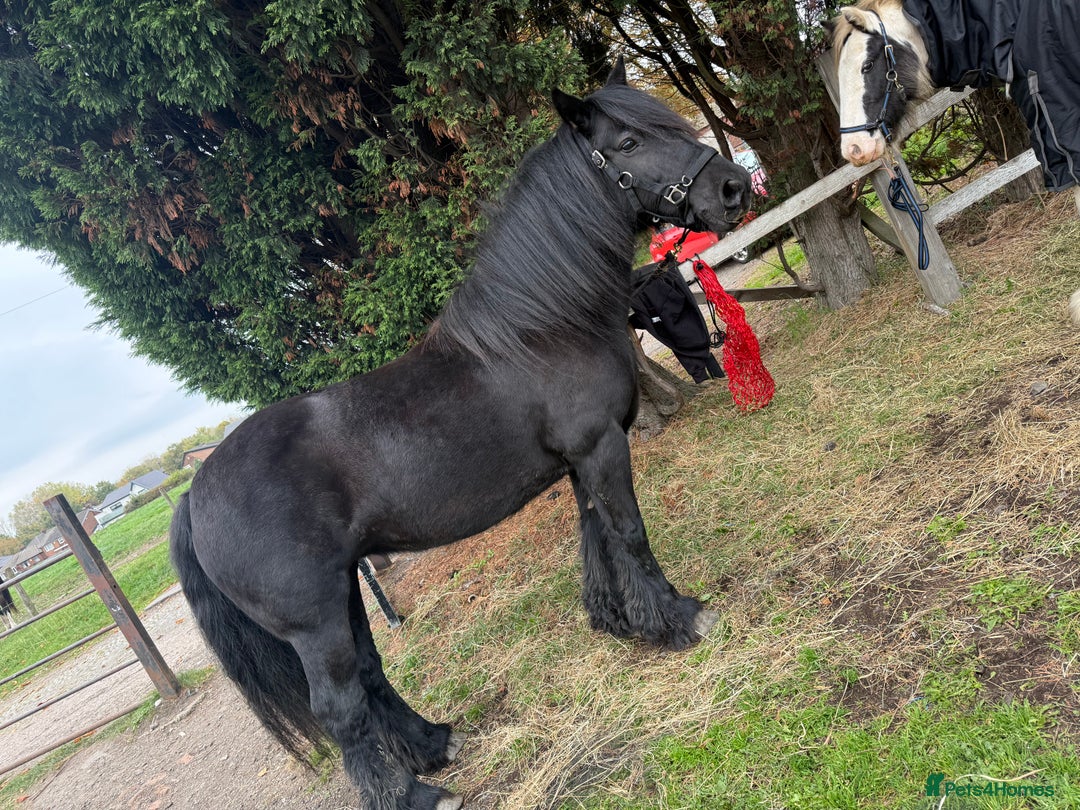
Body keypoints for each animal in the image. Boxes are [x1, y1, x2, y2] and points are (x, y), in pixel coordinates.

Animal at [170, 60, 751, 810]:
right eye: (626, 142)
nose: (734, 188)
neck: (540, 328)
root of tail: (194, 493)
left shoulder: (578, 461)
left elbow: (593, 537)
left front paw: (620, 624)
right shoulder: (600, 448)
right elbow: (628, 533)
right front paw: (678, 618)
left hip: (344, 594)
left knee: (371, 676)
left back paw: (434, 744)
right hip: (313, 620)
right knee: (338, 709)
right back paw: (415, 793)